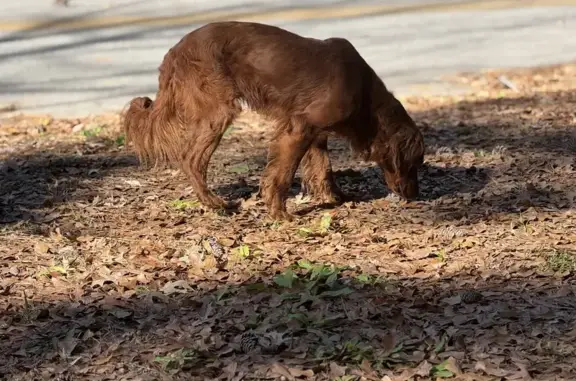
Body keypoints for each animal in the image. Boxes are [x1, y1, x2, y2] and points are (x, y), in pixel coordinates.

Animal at [124, 20, 426, 220]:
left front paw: (334, 198)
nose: (415, 195)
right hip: (219, 112)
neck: (365, 95)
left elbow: (322, 169)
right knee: (190, 159)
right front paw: (280, 213)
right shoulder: (299, 128)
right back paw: (215, 203)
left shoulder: (315, 131)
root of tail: (174, 51)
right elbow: (283, 174)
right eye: (414, 164)